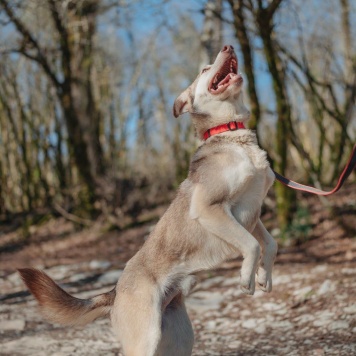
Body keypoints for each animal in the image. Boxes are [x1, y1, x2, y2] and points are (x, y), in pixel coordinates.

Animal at [19, 44, 278, 356]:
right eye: (205, 69)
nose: (228, 46)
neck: (231, 133)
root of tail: (115, 292)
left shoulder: (252, 214)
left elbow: (269, 244)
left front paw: (264, 276)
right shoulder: (211, 209)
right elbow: (252, 245)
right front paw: (246, 278)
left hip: (179, 339)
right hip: (144, 339)